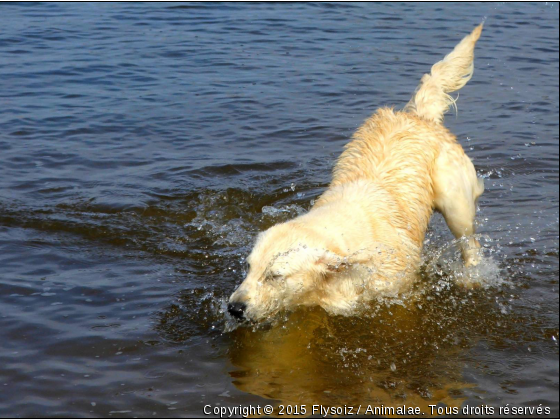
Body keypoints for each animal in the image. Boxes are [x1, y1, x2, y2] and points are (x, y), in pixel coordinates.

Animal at [228, 24, 486, 324]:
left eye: (275, 276)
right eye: (249, 268)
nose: (234, 308)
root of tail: (419, 116)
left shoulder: (398, 287)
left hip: (455, 198)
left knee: (469, 241)